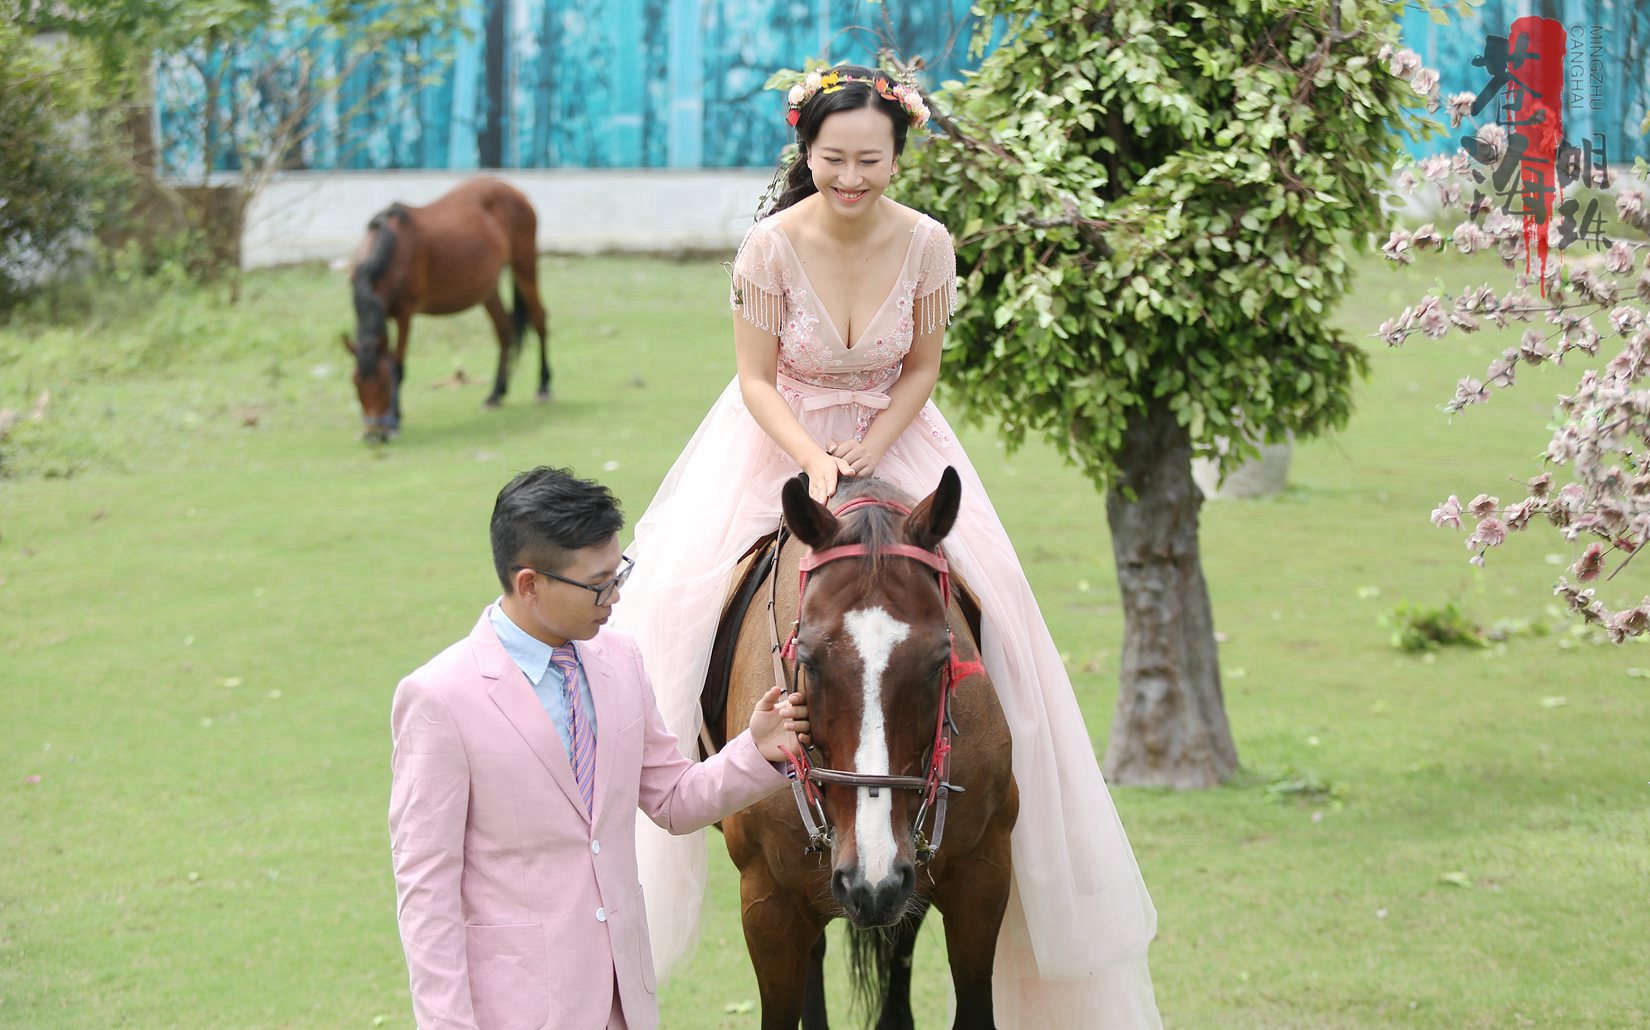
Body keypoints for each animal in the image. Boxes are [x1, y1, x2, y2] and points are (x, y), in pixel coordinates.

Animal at [338, 176, 551, 439]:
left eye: (385, 383)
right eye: (356, 382)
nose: (374, 435)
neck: (389, 250)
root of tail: (517, 192)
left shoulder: (404, 314)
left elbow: (398, 365)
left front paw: (395, 420)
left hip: (525, 265)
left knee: (539, 319)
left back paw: (543, 385)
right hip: (488, 289)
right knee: (505, 330)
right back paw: (495, 394)